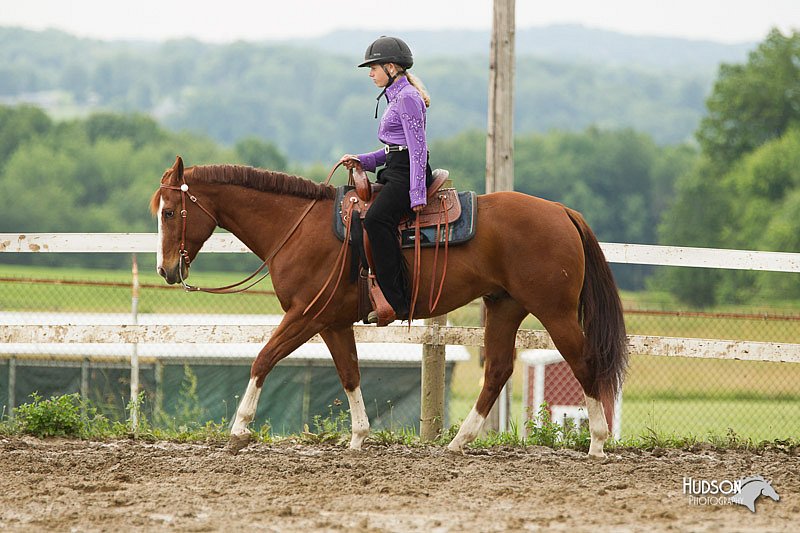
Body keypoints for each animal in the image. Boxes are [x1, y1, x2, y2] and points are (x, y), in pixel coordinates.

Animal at [148, 155, 624, 458]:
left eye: (170, 212)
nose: (166, 270)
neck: (297, 227)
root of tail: (562, 211)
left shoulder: (305, 315)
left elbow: (262, 359)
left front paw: (238, 430)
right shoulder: (331, 323)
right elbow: (350, 374)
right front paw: (359, 437)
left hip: (555, 312)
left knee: (584, 361)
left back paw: (598, 442)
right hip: (504, 306)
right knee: (498, 371)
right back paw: (458, 442)